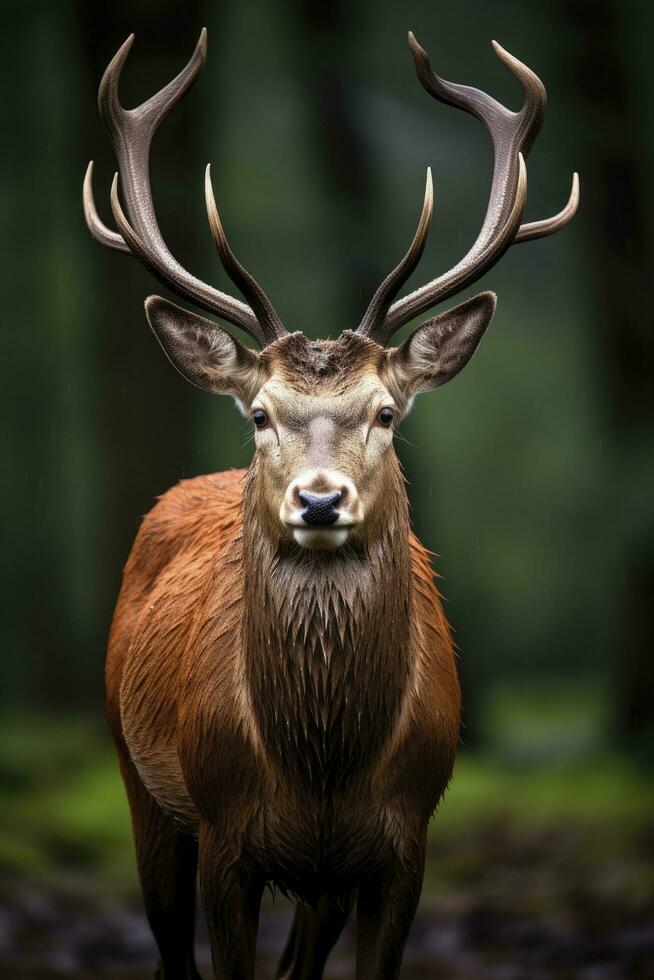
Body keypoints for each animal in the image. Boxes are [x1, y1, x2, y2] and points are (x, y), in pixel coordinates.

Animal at [82, 23, 580, 980]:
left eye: (385, 412)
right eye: (260, 414)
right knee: (167, 948)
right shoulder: (224, 835)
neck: (320, 771)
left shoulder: (404, 843)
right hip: (137, 777)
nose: (318, 502)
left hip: (318, 885)